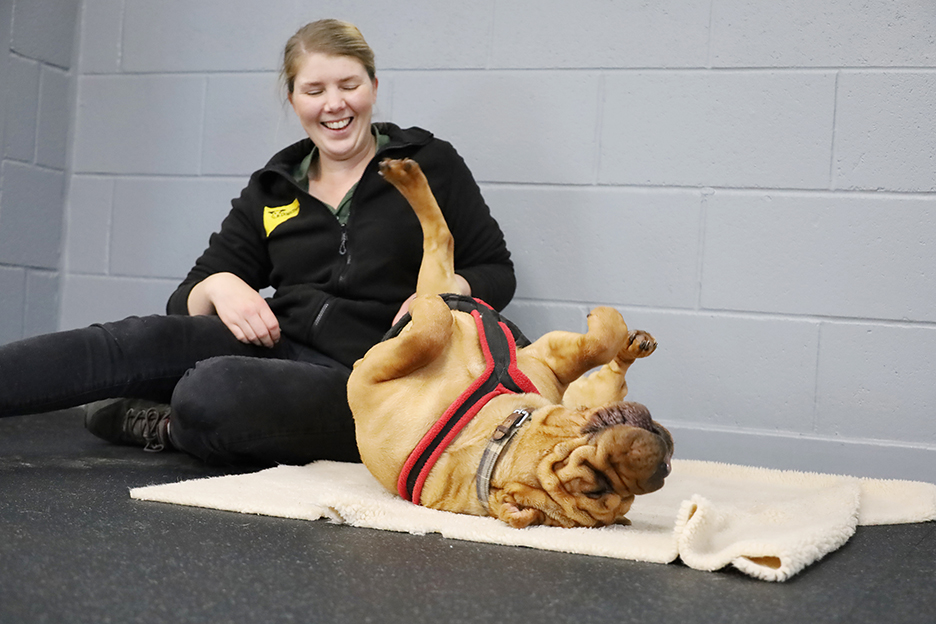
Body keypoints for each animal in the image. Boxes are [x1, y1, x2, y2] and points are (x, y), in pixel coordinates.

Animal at [346, 157, 672, 528]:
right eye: (597, 485)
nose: (662, 467)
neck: (489, 438)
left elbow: (434, 324)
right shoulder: (550, 360)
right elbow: (602, 337)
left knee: (441, 239)